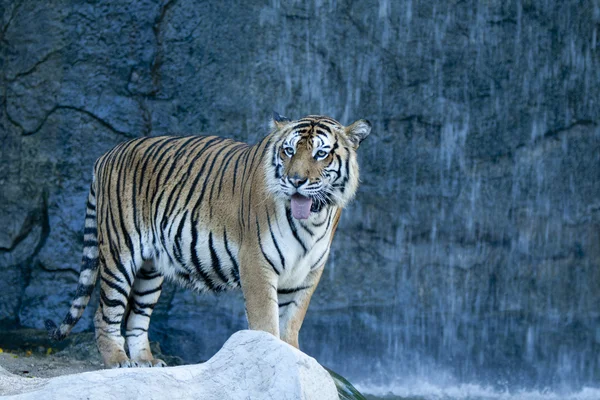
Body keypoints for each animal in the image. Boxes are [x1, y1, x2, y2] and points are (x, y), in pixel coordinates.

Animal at [45, 112, 370, 368]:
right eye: (289, 151)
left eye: (320, 154)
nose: (296, 181)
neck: (312, 222)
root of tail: (107, 154)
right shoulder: (256, 264)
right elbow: (267, 324)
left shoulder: (307, 274)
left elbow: (290, 325)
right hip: (120, 252)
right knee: (105, 313)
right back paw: (118, 361)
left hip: (150, 269)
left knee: (137, 317)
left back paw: (146, 361)